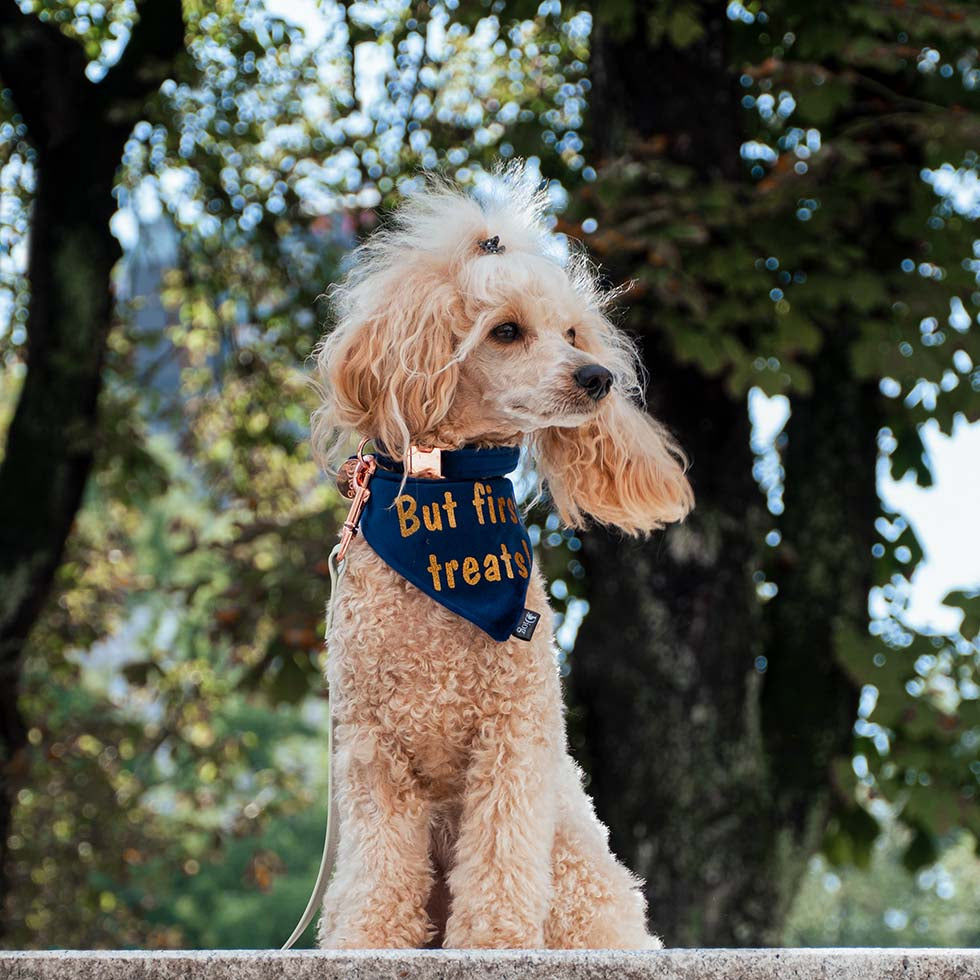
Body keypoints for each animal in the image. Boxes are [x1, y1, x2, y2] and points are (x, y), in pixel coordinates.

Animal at [310, 165, 692, 944]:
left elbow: (500, 861)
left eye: (572, 331)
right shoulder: (371, 751)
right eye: (506, 331)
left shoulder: (512, 736)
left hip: (578, 863)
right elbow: (375, 874)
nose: (597, 378)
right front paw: (367, 941)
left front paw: (492, 943)